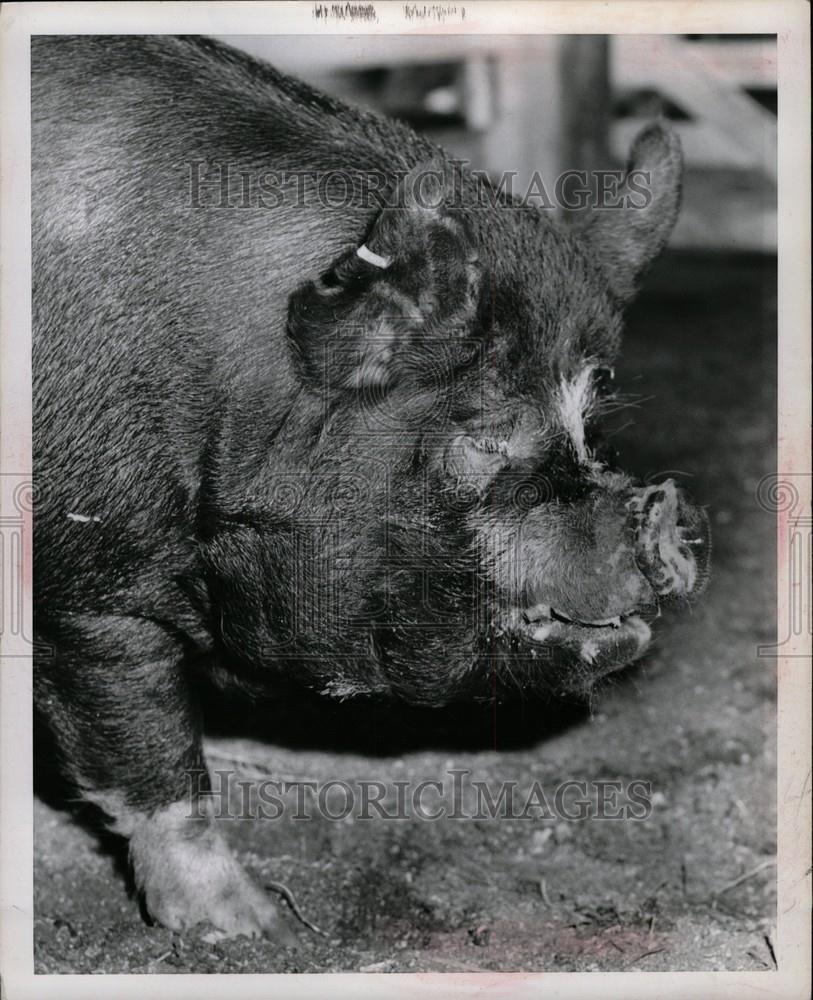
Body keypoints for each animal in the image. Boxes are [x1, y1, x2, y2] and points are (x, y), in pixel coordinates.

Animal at [30, 35, 704, 940]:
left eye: (588, 418)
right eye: (482, 434)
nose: (660, 511)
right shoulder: (87, 590)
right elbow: (150, 746)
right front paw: (249, 926)